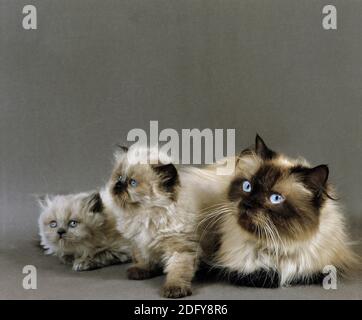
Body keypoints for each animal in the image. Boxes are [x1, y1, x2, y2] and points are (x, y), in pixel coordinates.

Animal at [100, 146, 199, 298]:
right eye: (120, 177)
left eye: (132, 183)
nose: (118, 185)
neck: (146, 217)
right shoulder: (138, 242)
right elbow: (142, 259)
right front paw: (141, 271)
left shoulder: (179, 248)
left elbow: (177, 271)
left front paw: (174, 288)